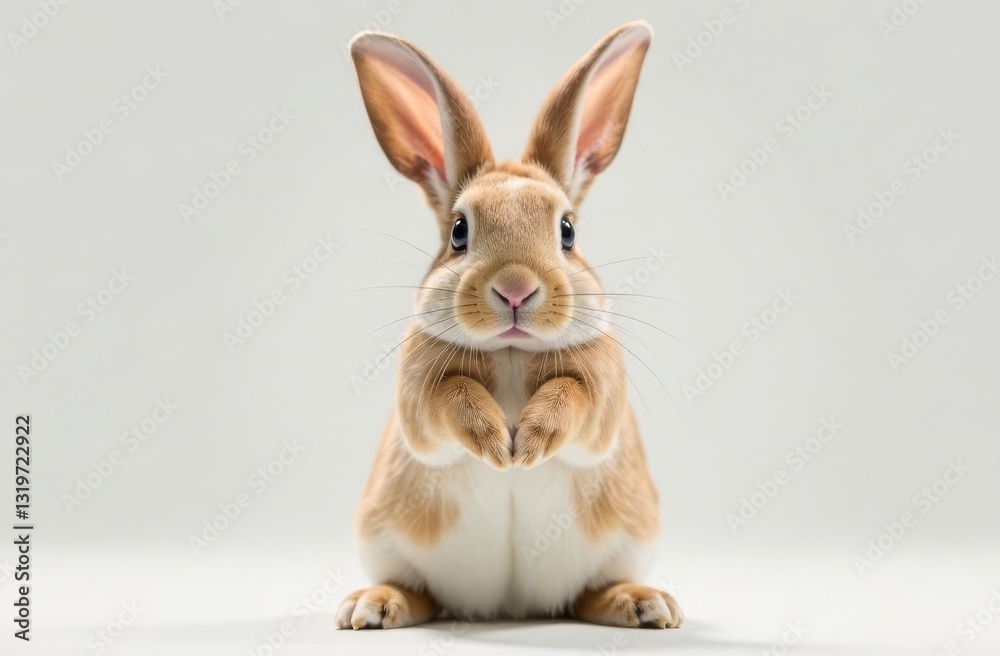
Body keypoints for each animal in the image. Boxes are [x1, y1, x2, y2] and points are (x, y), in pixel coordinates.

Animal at [337, 20, 682, 631]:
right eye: (459, 231)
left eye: (567, 230)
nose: (516, 288)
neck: (512, 352)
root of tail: (511, 606)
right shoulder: (419, 399)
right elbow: (451, 399)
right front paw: (499, 446)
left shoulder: (602, 397)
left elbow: (573, 397)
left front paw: (528, 445)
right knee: (421, 593)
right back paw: (371, 607)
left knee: (590, 593)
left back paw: (645, 604)